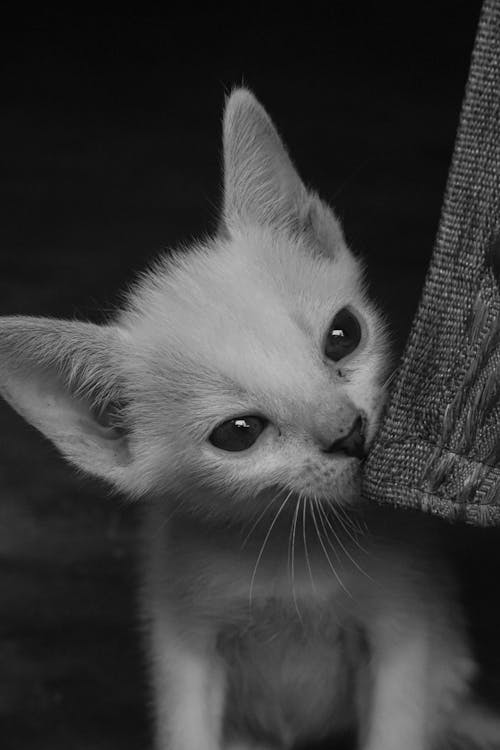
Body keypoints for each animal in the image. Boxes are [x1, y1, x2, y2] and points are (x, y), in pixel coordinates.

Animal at [0, 89, 500, 750]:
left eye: (343, 335)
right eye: (238, 433)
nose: (349, 433)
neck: (293, 549)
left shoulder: (406, 632)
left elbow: (395, 726)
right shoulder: (183, 642)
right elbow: (185, 727)